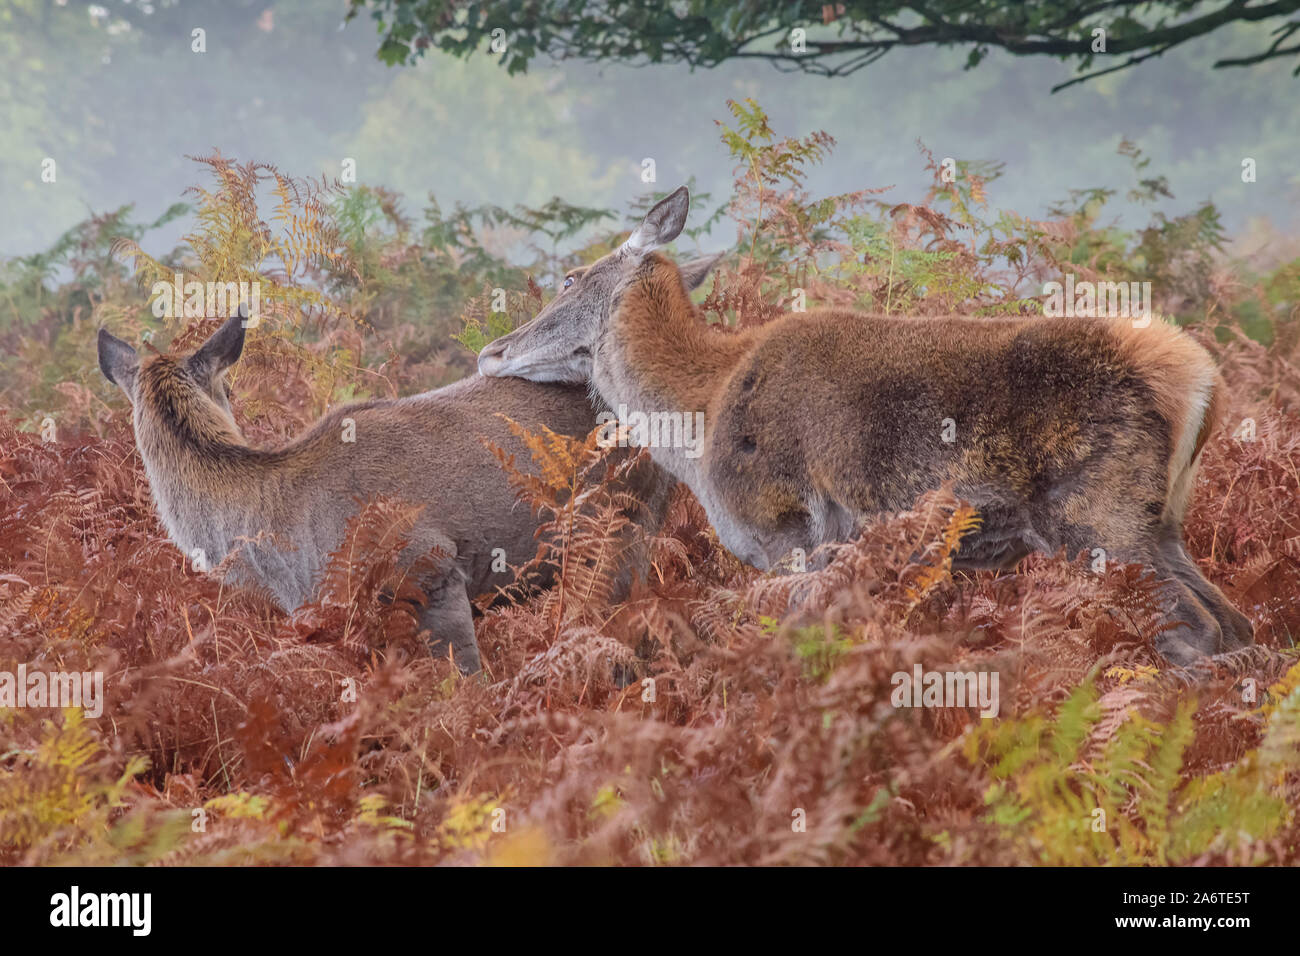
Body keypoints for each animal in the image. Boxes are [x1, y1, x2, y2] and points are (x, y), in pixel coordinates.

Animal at [476, 186, 1254, 666]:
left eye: (570, 277)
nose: (492, 351)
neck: (698, 416)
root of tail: (1200, 380)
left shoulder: (791, 533)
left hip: (1099, 516)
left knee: (1196, 629)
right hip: (1163, 521)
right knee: (1237, 622)